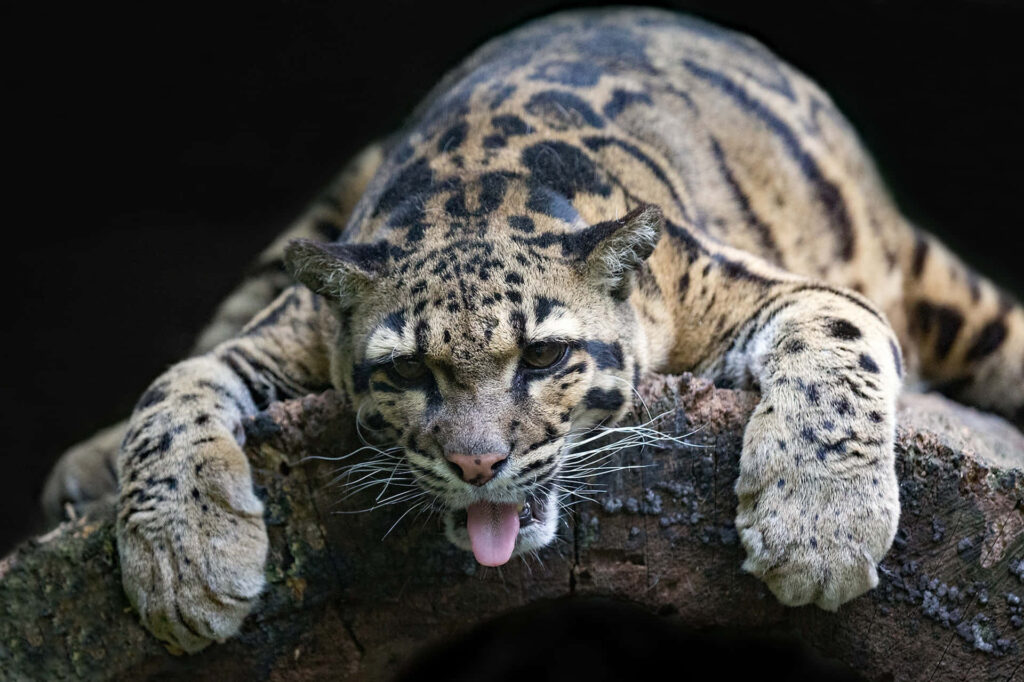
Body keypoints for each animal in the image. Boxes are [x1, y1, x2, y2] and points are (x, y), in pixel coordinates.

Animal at [41, 7, 1024, 653]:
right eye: (407, 374)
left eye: (545, 356)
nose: (478, 464)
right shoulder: (295, 326)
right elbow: (173, 388)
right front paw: (183, 567)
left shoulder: (751, 281)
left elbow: (836, 341)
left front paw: (818, 534)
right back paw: (81, 472)